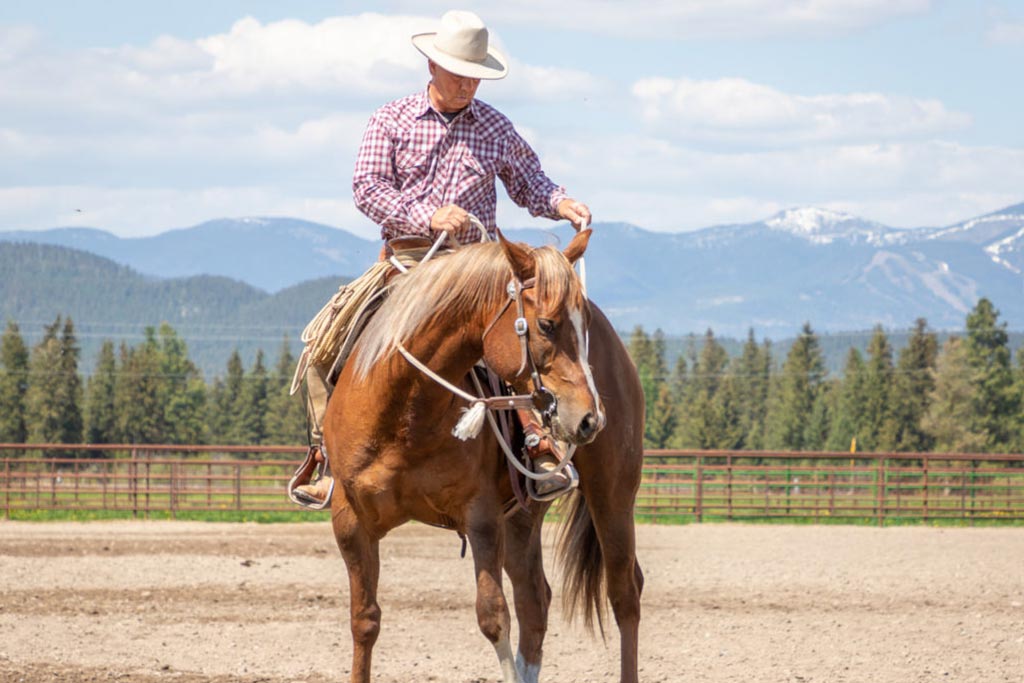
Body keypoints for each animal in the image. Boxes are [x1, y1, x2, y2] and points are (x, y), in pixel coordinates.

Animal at [323, 231, 643, 683]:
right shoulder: (350, 521)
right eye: (546, 324)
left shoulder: (482, 517)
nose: (589, 417)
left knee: (623, 593)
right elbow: (364, 620)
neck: (405, 411)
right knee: (535, 600)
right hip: (523, 517)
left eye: (585, 328)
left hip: (613, 493)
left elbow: (493, 617)